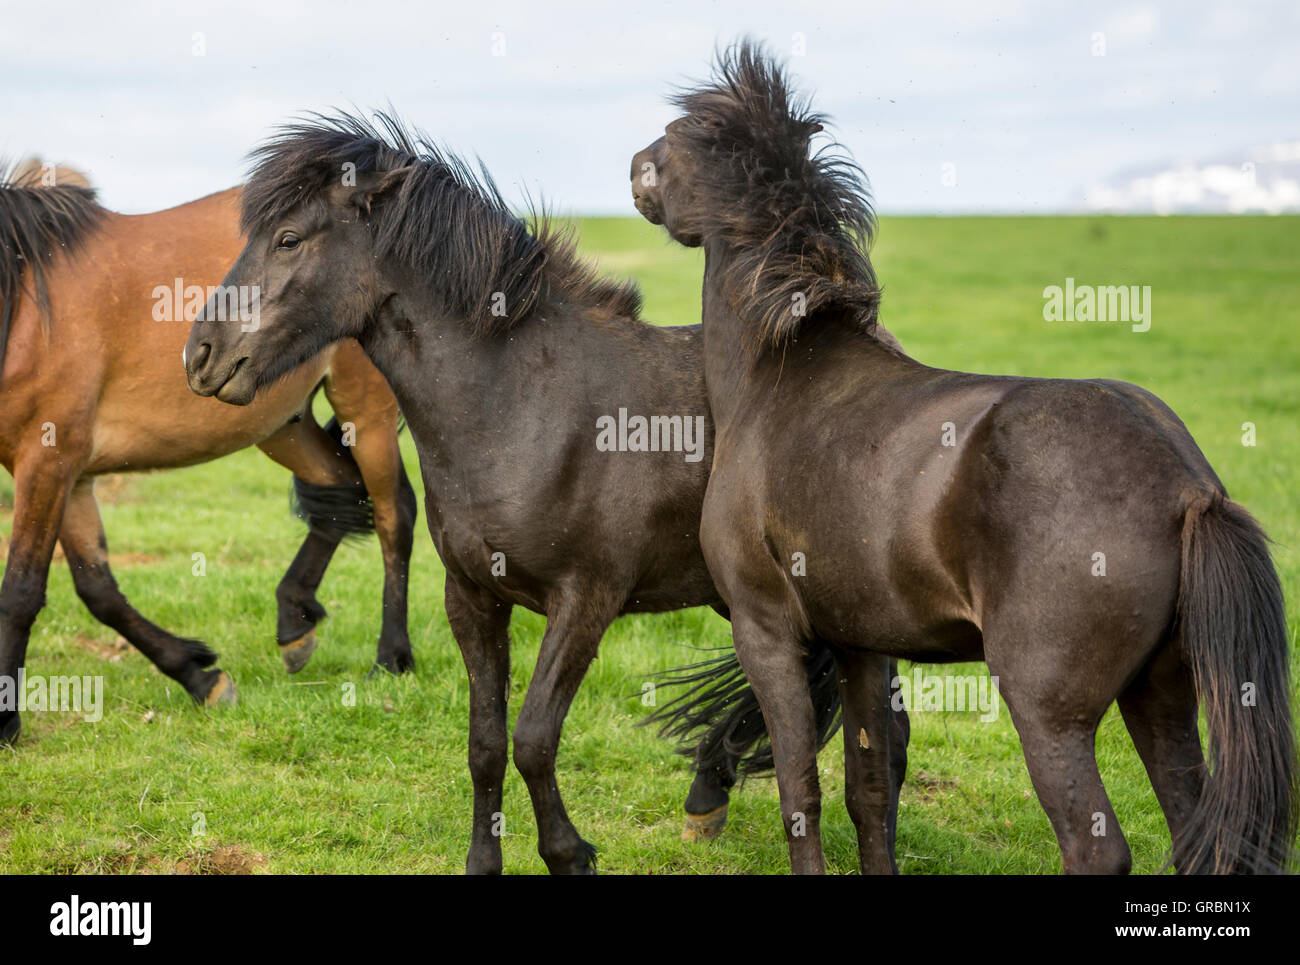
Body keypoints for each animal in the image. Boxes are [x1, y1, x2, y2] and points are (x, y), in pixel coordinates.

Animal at [0, 160, 416, 749]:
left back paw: (391, 658)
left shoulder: (47, 463)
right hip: (280, 425)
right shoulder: (68, 474)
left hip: (366, 407)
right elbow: (98, 589)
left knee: (391, 513)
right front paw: (200, 677)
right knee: (339, 491)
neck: (22, 302)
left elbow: (21, 591)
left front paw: (5, 720)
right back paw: (294, 619)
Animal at [178, 115, 899, 879]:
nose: (200, 355)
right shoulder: (472, 599)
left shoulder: (585, 601)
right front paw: (483, 861)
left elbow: (532, 738)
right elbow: (485, 743)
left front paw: (569, 853)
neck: (518, 404)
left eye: (288, 238)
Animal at [626, 43, 1289, 879]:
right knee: (1194, 828)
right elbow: (870, 791)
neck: (779, 373)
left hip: (1050, 713)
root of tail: (1187, 484)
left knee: (1096, 845)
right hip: (1161, 692)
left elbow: (800, 795)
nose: (634, 168)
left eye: (680, 136)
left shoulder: (766, 628)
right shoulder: (860, 645)